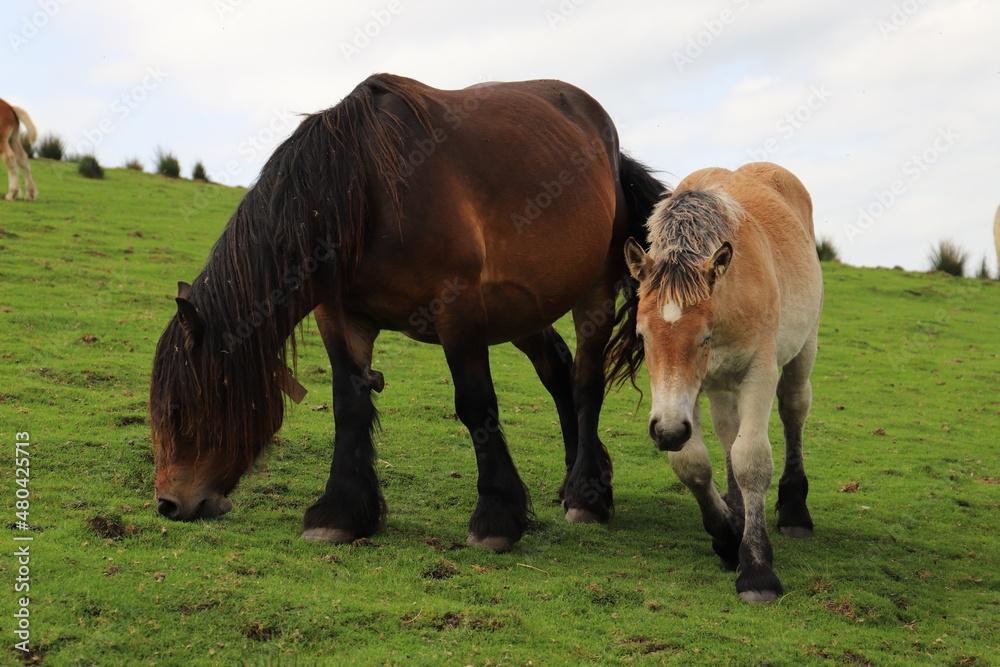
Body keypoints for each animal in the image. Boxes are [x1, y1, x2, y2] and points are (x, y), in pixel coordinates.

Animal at [149, 73, 664, 552]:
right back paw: (578, 478)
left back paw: (586, 495)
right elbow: (349, 405)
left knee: (585, 382)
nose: (168, 504)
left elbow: (476, 404)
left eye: (178, 408)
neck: (364, 187)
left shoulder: (458, 309)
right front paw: (339, 513)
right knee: (557, 371)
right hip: (522, 308)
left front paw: (497, 518)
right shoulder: (341, 317)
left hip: (592, 293)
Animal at [607, 162, 823, 602]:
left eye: (704, 337)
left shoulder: (759, 372)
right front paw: (728, 536)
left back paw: (795, 512)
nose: (668, 431)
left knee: (793, 409)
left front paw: (756, 570)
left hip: (801, 351)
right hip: (722, 385)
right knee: (728, 432)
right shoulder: (687, 394)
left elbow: (751, 459)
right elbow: (693, 462)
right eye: (641, 336)